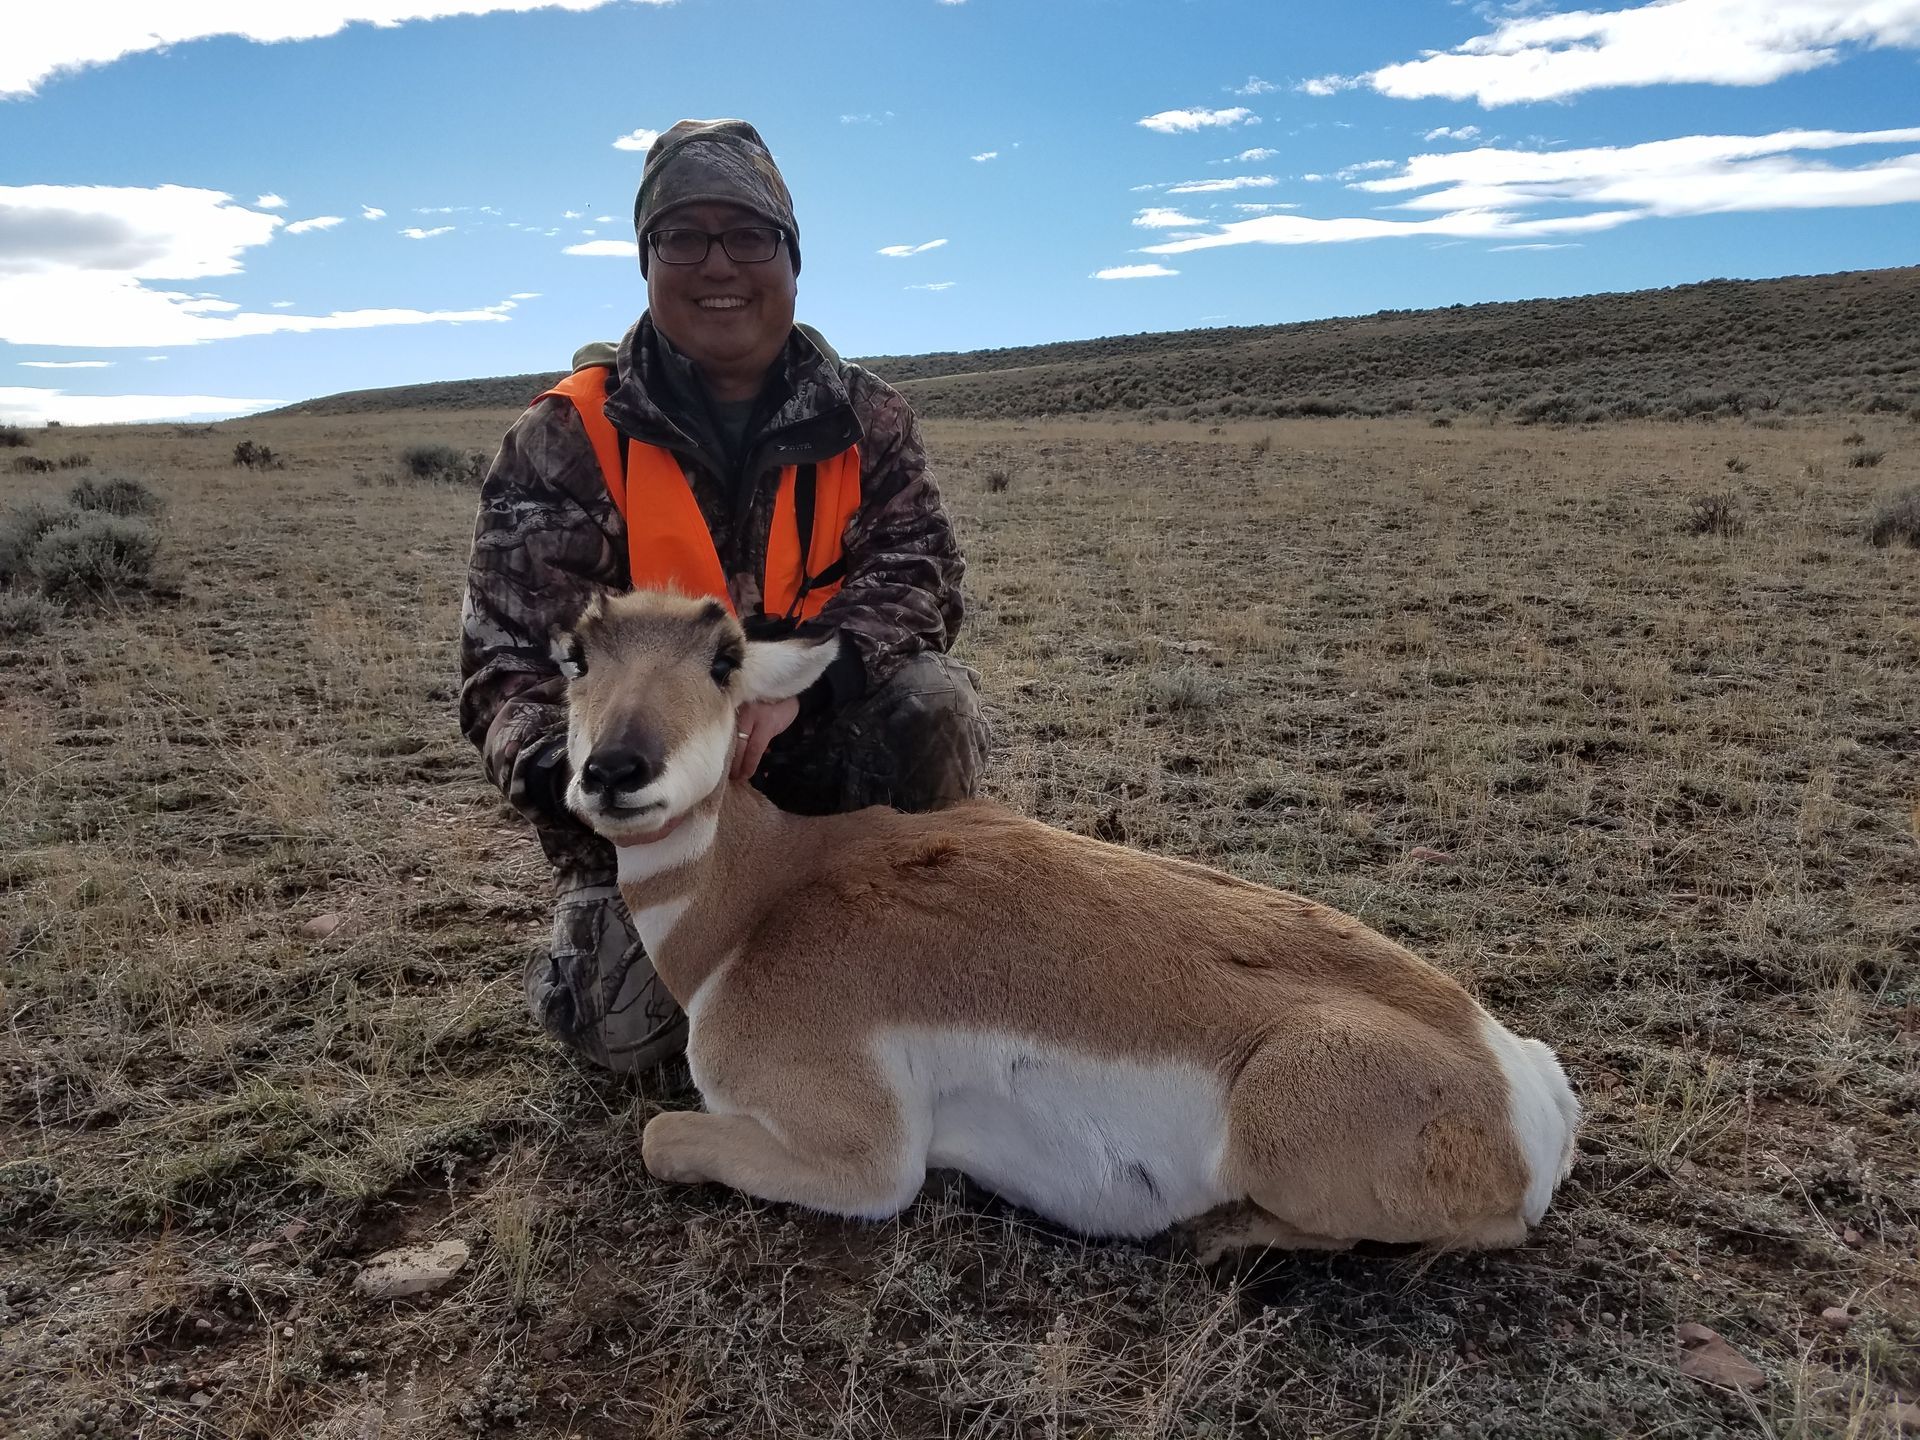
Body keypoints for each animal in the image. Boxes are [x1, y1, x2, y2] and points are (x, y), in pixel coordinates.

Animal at [554, 589, 1580, 1253]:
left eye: (724, 660)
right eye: (579, 657)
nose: (614, 770)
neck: (763, 900)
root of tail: (1519, 1079)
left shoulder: (867, 1161)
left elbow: (660, 1137)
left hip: (1284, 1120)